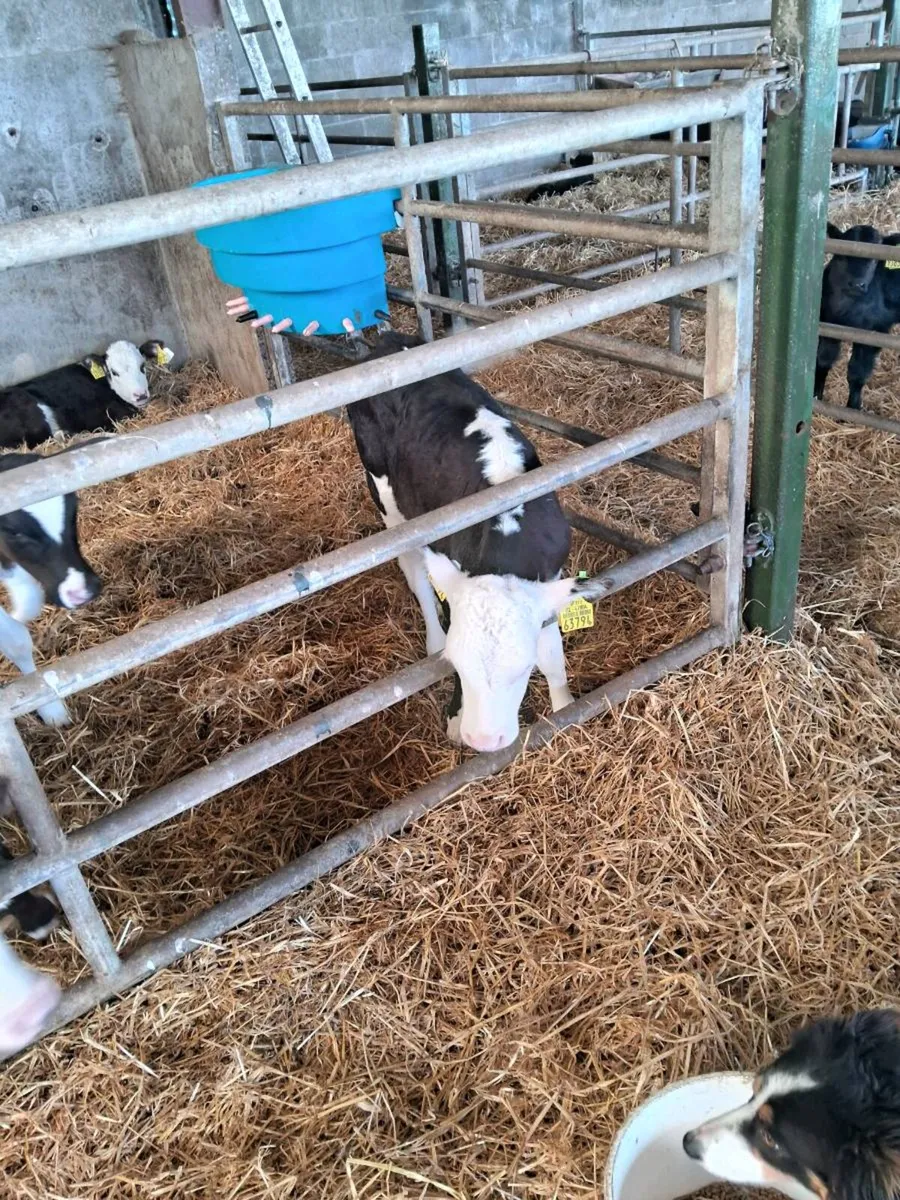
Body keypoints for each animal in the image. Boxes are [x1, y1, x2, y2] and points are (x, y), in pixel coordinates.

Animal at [346, 332, 584, 753]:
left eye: (523, 670)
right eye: (458, 666)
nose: (484, 740)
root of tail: (387, 343)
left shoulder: (550, 578)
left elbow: (553, 655)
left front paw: (564, 707)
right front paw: (456, 719)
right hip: (388, 502)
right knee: (416, 576)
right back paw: (432, 638)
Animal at [816, 223, 900, 409]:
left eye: (874, 260)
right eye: (843, 256)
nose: (856, 284)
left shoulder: (874, 332)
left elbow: (857, 373)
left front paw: (853, 406)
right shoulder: (827, 322)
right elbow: (823, 360)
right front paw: (815, 395)